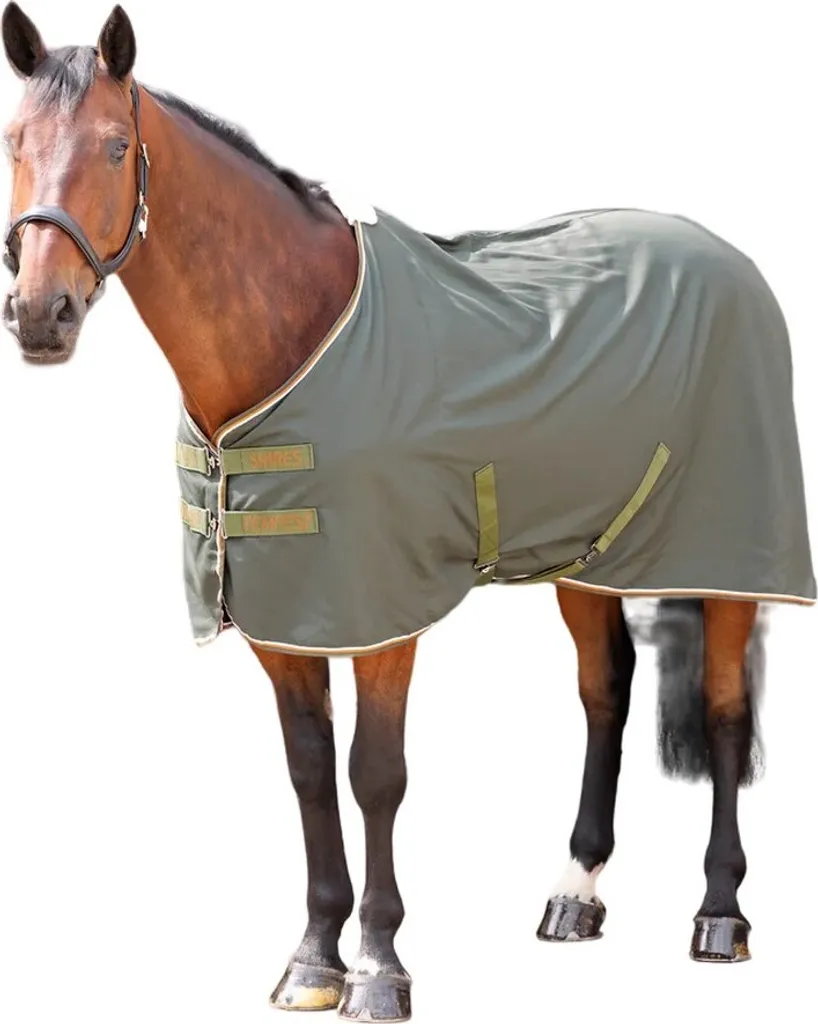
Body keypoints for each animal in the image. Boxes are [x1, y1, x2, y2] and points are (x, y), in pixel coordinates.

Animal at [2, 5, 814, 1021]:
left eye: (116, 145)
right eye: (13, 142)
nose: (41, 314)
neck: (294, 332)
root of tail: (730, 257)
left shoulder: (381, 617)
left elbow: (374, 776)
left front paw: (381, 967)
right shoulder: (285, 619)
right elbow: (310, 773)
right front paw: (315, 959)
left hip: (726, 548)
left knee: (723, 710)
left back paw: (719, 915)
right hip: (591, 555)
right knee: (606, 692)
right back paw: (575, 893)